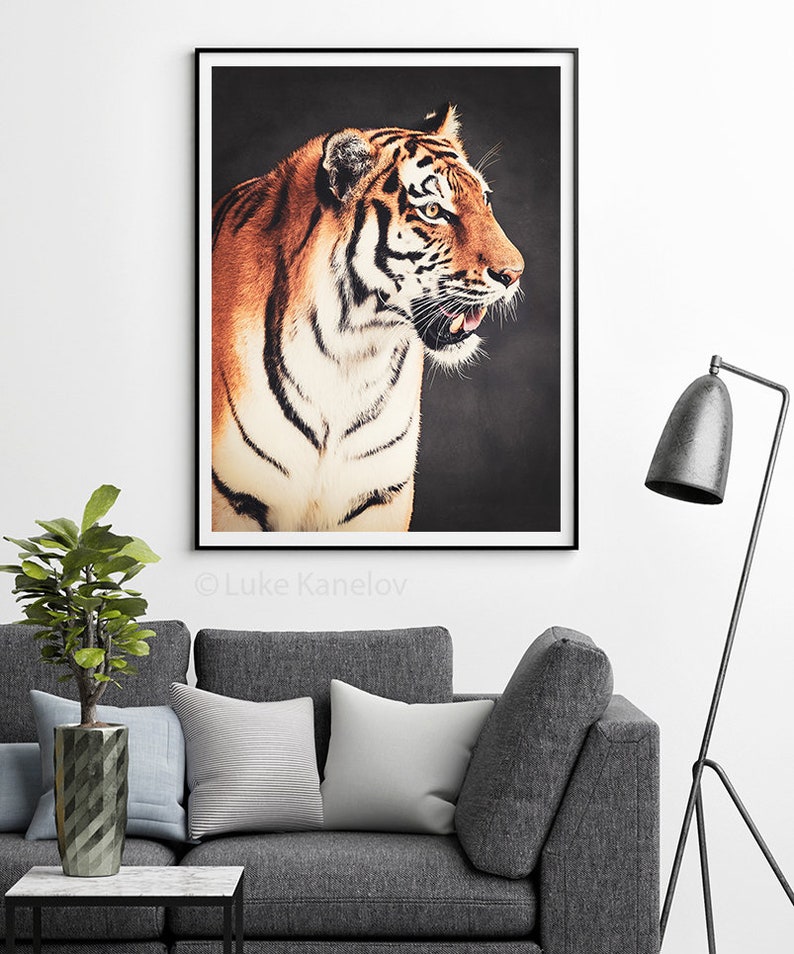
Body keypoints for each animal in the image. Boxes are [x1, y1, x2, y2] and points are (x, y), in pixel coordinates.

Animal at [211, 103, 524, 532]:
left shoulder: (377, 496)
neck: (349, 355)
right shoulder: (234, 499)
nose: (515, 273)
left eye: (486, 200)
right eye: (432, 210)